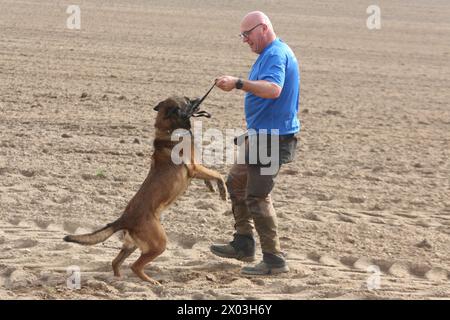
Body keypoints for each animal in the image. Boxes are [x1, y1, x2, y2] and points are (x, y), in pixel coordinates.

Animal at [65, 96, 227, 284]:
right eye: (187, 101)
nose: (197, 99)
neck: (169, 128)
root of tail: (124, 218)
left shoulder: (196, 168)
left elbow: (210, 175)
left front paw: (211, 186)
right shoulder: (194, 168)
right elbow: (217, 174)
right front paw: (223, 190)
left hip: (132, 245)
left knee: (115, 262)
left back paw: (118, 280)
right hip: (159, 243)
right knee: (135, 266)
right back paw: (151, 282)